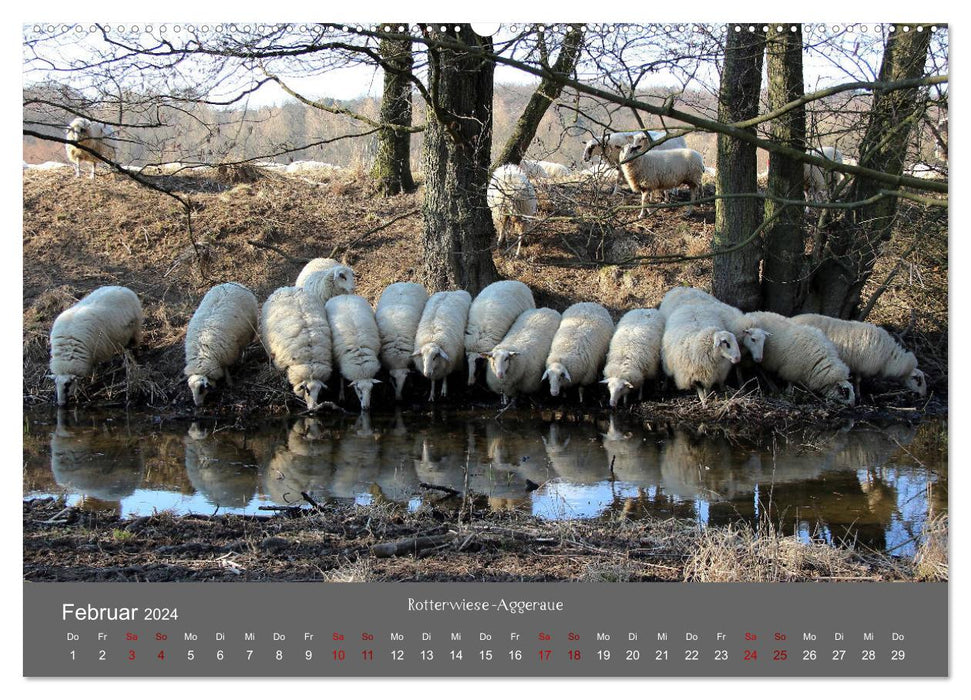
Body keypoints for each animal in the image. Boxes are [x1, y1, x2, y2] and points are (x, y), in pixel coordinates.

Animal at [788, 314, 928, 396]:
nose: (924, 395)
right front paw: (860, 394)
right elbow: (858, 381)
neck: (889, 357)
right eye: (918, 380)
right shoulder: (862, 367)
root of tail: (791, 319)